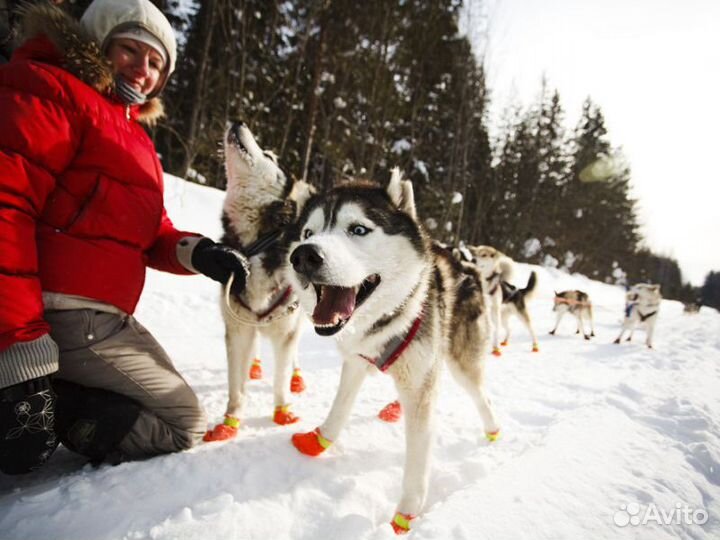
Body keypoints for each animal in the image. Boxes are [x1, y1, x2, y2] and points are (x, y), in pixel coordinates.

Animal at [204, 122, 314, 442]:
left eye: (270, 156)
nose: (238, 122)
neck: (257, 245)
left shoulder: (286, 329)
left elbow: (280, 378)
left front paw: (282, 411)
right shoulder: (237, 329)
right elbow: (235, 385)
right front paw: (230, 421)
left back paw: (296, 378)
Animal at [284, 171, 498, 532]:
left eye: (358, 229)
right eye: (308, 233)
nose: (304, 256)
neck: (389, 319)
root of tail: (468, 268)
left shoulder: (421, 389)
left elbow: (417, 461)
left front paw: (406, 514)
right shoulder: (356, 362)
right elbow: (340, 407)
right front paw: (320, 439)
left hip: (461, 363)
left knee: (481, 395)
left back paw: (493, 431)